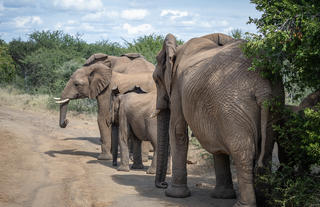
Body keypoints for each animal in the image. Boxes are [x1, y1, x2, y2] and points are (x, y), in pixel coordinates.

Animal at [154, 33, 284, 207]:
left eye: (156, 80)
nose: (163, 184)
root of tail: (261, 82)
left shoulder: (177, 88)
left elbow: (177, 132)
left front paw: (174, 195)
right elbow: (216, 143)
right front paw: (222, 196)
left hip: (232, 105)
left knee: (242, 151)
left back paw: (243, 204)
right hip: (274, 101)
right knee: (267, 148)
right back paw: (264, 200)